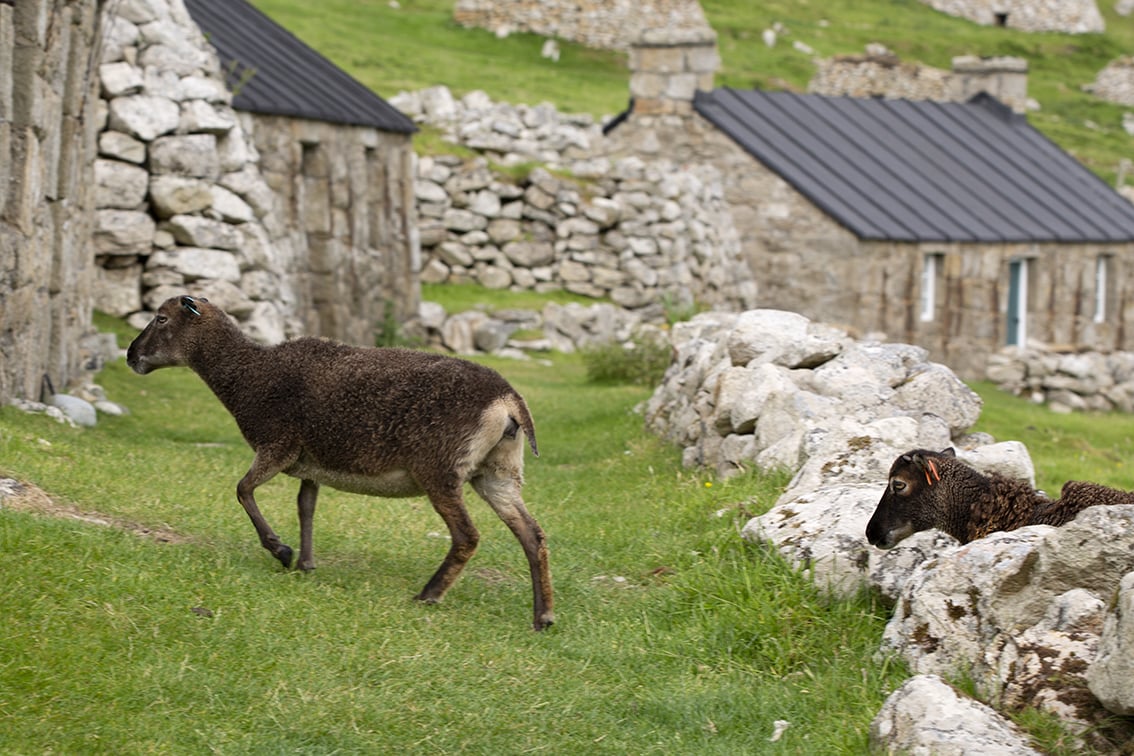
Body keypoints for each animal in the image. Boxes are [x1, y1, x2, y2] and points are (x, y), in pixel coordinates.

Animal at [128, 294, 553, 634]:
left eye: (161, 318)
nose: (131, 356)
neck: (249, 375)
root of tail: (509, 401)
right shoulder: (311, 464)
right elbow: (306, 507)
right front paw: (306, 563)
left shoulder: (278, 445)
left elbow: (243, 489)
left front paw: (281, 551)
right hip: (498, 473)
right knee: (532, 534)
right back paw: (543, 616)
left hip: (441, 469)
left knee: (467, 535)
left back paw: (429, 595)